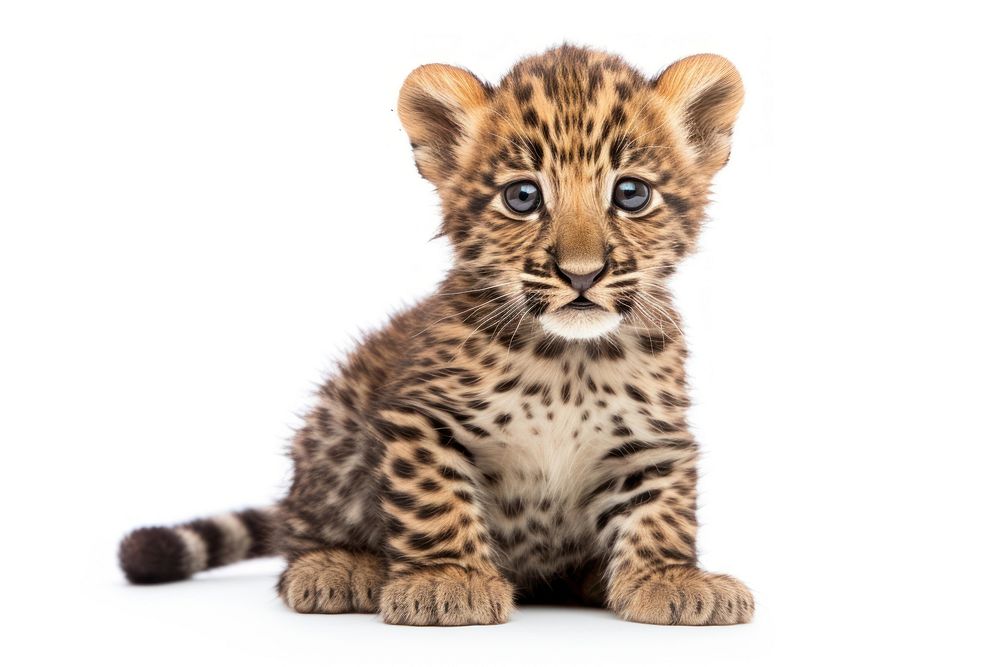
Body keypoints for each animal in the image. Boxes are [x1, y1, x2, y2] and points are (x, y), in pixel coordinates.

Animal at [119, 44, 753, 626]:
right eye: (523, 196)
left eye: (631, 194)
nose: (582, 274)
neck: (569, 362)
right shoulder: (421, 420)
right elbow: (435, 501)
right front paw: (449, 580)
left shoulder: (652, 441)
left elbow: (661, 509)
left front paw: (671, 579)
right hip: (332, 431)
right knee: (301, 531)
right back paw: (335, 568)